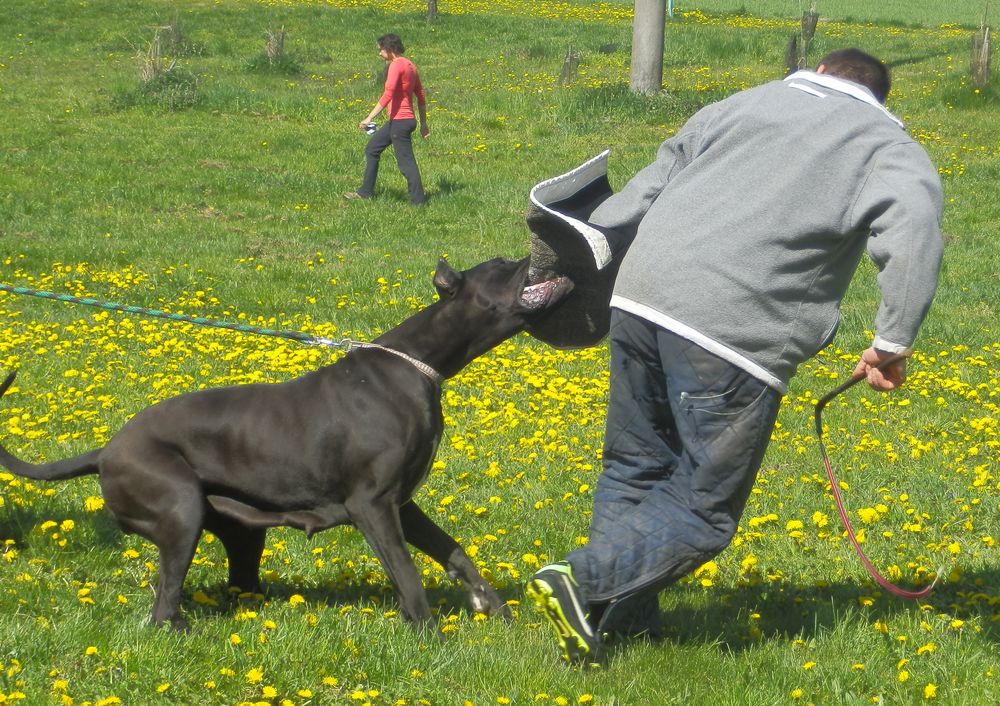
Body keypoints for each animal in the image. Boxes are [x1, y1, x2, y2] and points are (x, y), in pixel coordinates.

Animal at [0, 257, 572, 630]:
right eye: (502, 265)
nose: (537, 250)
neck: (419, 364)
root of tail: (105, 450)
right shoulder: (373, 506)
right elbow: (408, 576)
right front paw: (429, 634)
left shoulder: (403, 505)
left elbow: (455, 553)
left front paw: (493, 608)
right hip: (178, 508)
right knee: (164, 604)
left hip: (239, 529)